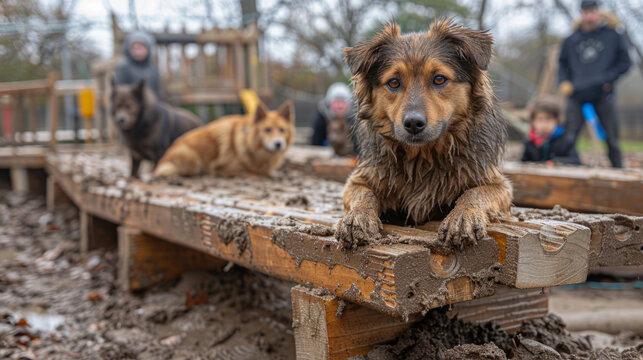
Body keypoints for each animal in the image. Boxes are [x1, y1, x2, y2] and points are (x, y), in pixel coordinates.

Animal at [155, 100, 296, 176]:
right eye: (267, 130)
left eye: (282, 130)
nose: (278, 143)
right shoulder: (226, 168)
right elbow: (248, 171)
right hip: (191, 158)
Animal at [338, 19, 512, 250]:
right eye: (394, 82)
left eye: (439, 79)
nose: (413, 123)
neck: (422, 156)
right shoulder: (360, 179)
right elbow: (364, 194)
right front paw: (357, 217)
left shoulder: (498, 185)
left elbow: (474, 192)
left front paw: (463, 217)